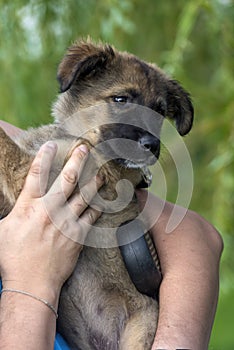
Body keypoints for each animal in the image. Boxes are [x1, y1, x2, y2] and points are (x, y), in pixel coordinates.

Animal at [0, 39, 193, 348]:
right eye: (120, 99)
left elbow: (5, 145)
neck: (80, 137)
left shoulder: (31, 176)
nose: (152, 146)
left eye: (160, 113)